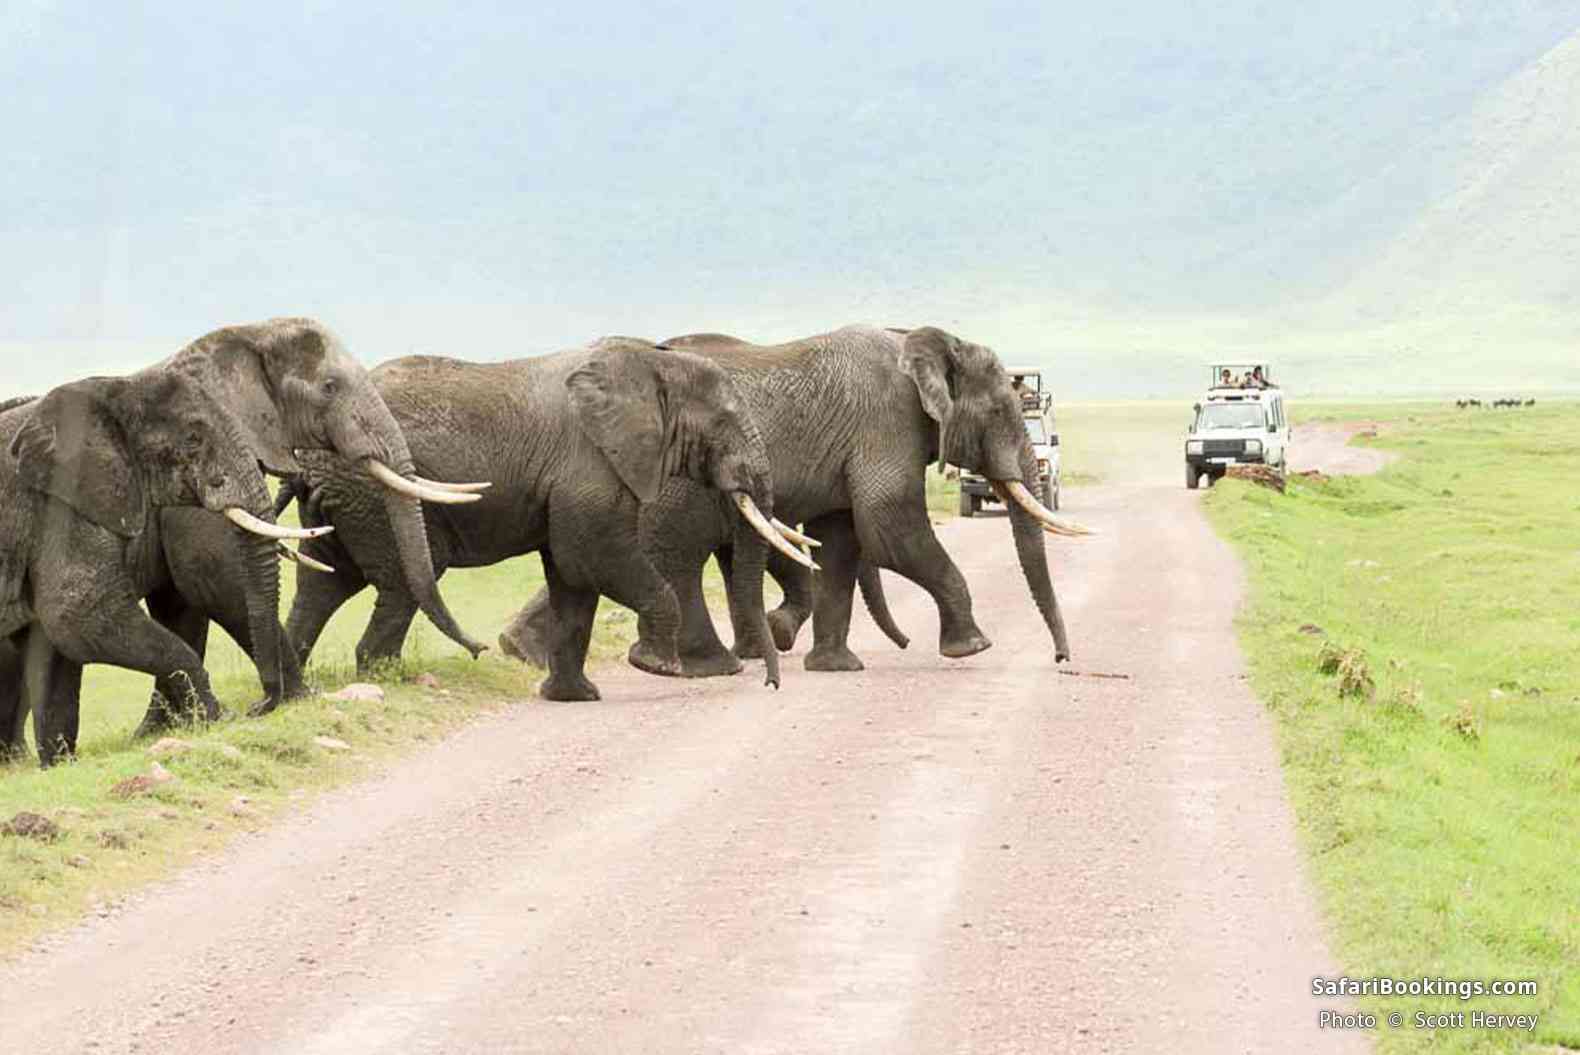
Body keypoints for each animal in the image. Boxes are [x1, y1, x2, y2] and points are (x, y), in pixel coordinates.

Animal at [275, 336, 808, 701]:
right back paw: (385, 679)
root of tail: (307, 461)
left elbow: (571, 577)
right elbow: (593, 558)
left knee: (323, 584)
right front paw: (655, 666)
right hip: (370, 494)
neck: (650, 361)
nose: (771, 685)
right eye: (723, 424)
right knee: (398, 585)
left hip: (344, 502)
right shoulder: (589, 464)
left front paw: (573, 698)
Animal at [501, 325, 1088, 677]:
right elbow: (888, 526)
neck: (919, 337)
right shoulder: (885, 422)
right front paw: (973, 647)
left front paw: (834, 666)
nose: (1061, 659)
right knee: (675, 558)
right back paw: (708, 667)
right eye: (998, 412)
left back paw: (524, 654)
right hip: (671, 480)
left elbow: (842, 541)